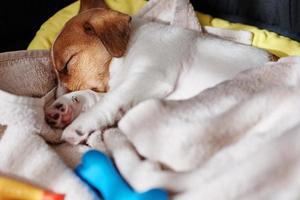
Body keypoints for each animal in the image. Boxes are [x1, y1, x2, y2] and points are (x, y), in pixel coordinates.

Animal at [45, 0, 272, 145]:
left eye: (67, 64)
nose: (55, 97)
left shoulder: (147, 78)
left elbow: (106, 102)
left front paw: (78, 126)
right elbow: (96, 97)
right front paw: (65, 107)